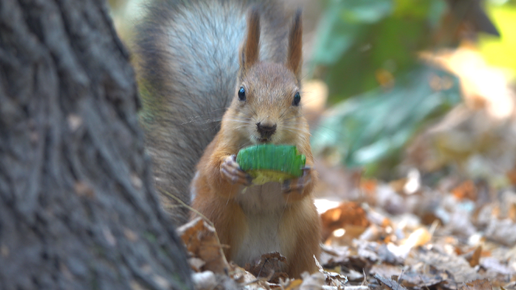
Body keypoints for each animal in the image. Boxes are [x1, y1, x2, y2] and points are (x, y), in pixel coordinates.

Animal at [135, 0, 320, 278]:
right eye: (241, 92)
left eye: (297, 98)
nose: (266, 127)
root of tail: (258, 260)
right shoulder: (223, 139)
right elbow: (212, 172)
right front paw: (227, 169)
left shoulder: (303, 144)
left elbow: (313, 179)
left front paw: (304, 180)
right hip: (215, 212)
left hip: (306, 225)